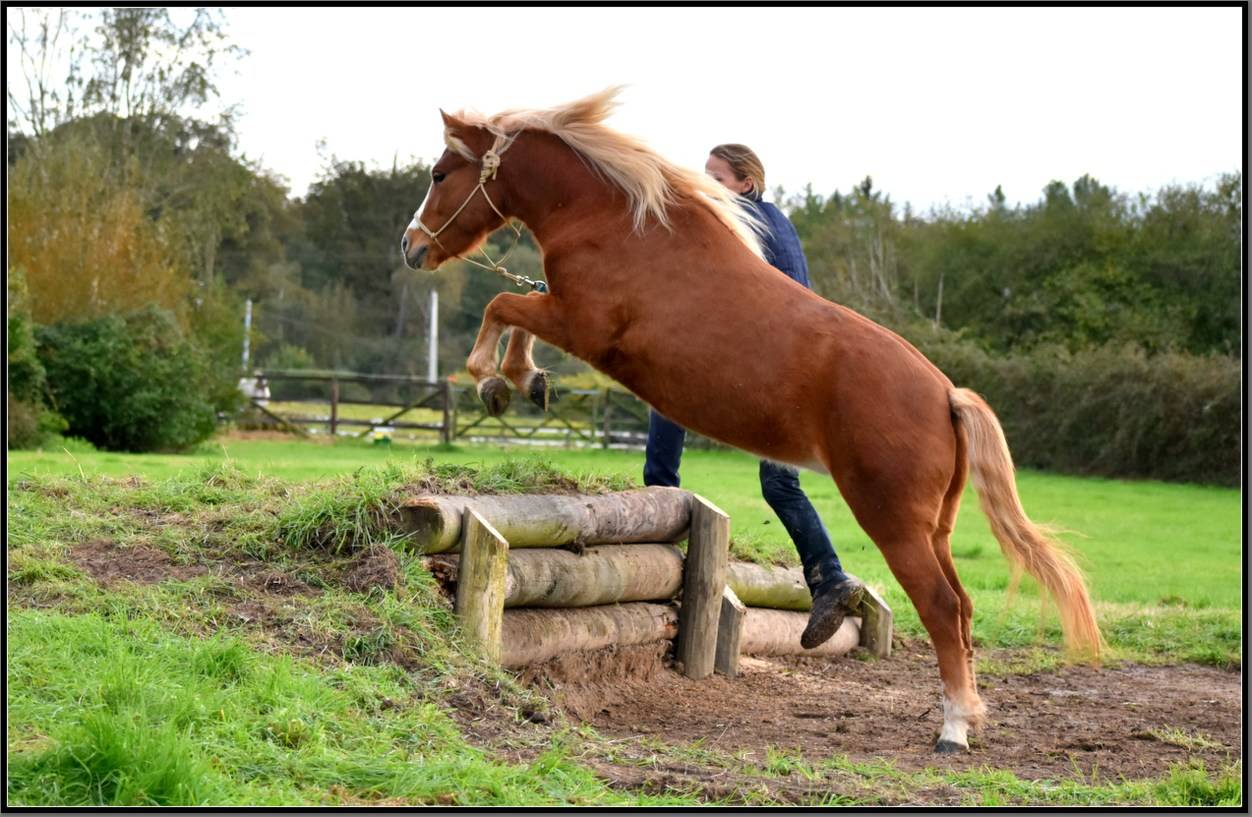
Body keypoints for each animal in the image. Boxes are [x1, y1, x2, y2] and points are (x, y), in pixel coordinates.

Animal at [399, 88, 1103, 754]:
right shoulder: (568, 317)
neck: (619, 225)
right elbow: (514, 311)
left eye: (439, 173)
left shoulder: (581, 325)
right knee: (962, 609)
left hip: (894, 521)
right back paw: (969, 715)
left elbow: (501, 304)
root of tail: (946, 395)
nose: (411, 246)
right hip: (937, 528)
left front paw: (496, 380)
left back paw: (952, 729)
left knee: (939, 606)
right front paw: (524, 382)